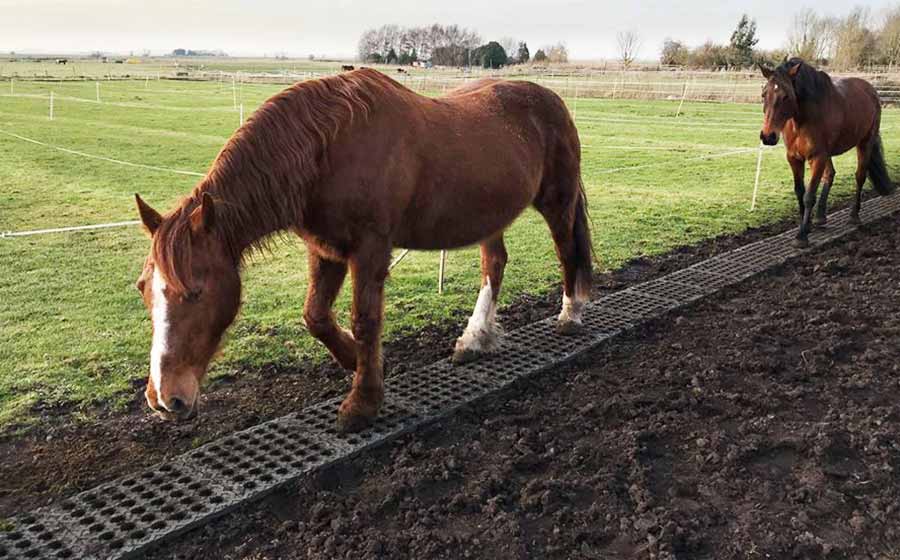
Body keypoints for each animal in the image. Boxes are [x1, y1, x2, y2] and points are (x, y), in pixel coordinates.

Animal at [134, 68, 593, 432]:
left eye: (196, 291)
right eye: (143, 289)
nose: (164, 399)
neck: (327, 150)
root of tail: (551, 98)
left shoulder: (370, 249)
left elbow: (366, 319)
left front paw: (363, 402)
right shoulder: (326, 250)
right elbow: (315, 316)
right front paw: (357, 362)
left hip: (558, 201)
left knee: (565, 250)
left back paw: (569, 315)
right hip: (490, 214)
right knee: (494, 264)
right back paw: (475, 338)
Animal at [758, 58, 894, 247]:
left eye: (786, 96)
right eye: (764, 94)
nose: (767, 136)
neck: (801, 120)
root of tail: (870, 90)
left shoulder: (817, 157)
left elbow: (809, 195)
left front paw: (801, 236)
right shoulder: (794, 158)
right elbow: (800, 191)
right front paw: (806, 226)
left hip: (864, 143)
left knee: (860, 176)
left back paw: (854, 215)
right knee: (830, 174)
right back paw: (820, 217)